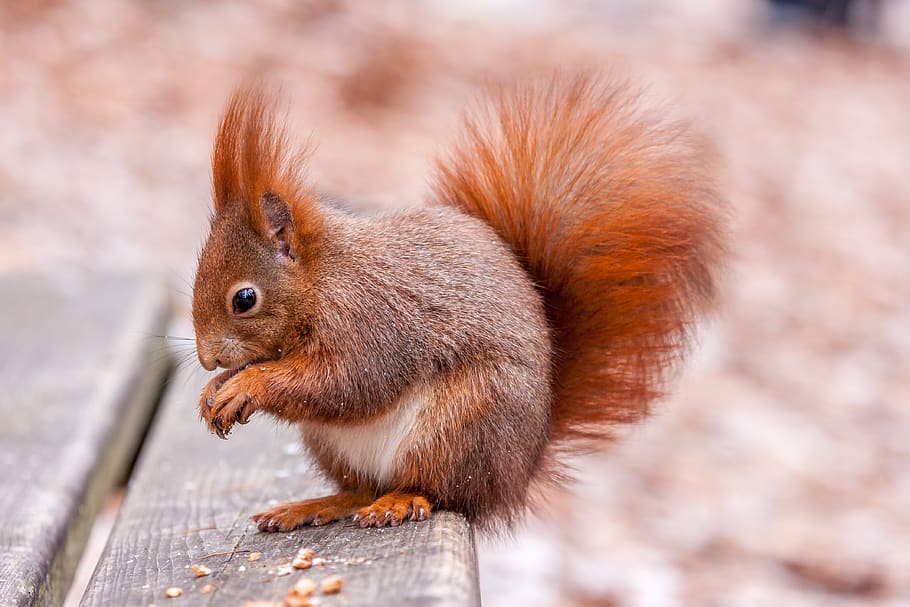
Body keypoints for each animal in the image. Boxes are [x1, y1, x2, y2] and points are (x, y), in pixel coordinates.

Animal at [192, 74, 727, 532]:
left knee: (439, 490)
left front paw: (248, 384)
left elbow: (348, 381)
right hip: (335, 444)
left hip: (460, 424)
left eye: (245, 299)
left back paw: (401, 500)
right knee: (359, 490)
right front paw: (215, 389)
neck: (322, 278)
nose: (208, 358)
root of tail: (518, 472)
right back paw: (312, 505)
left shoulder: (370, 317)